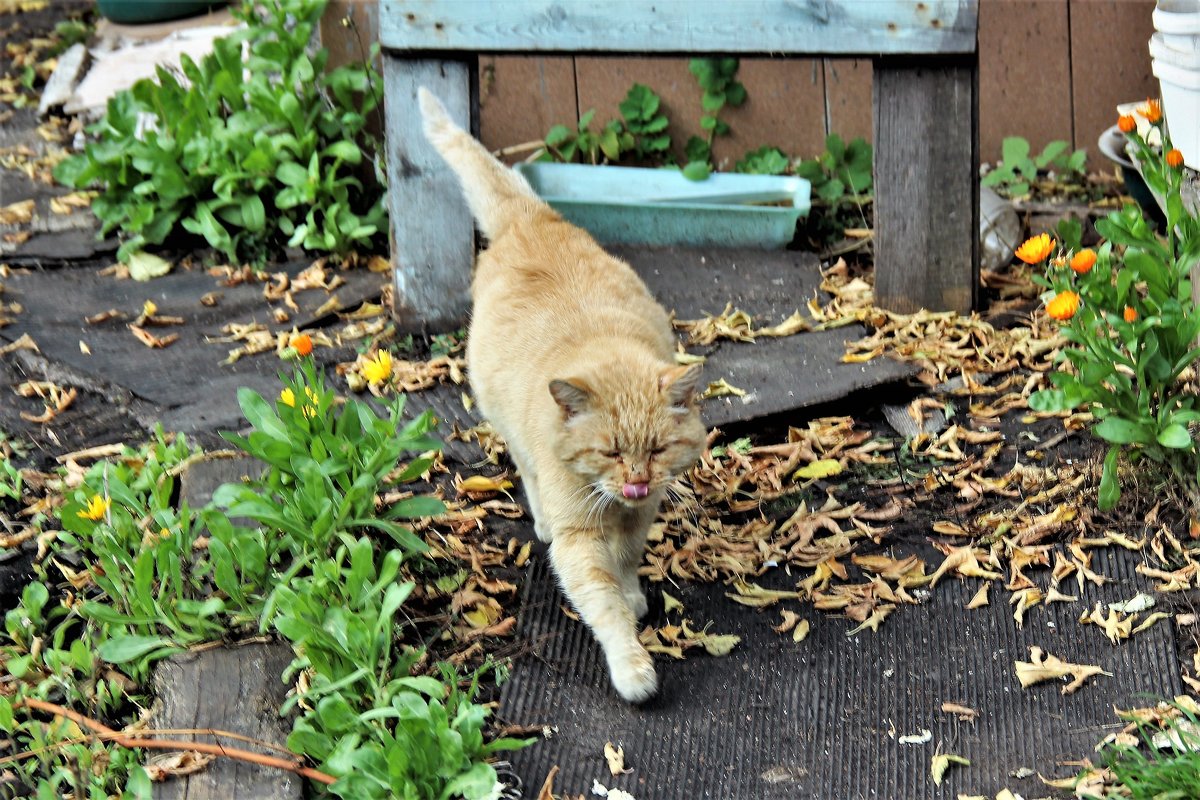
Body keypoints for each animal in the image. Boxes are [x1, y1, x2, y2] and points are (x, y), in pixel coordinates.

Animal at [420, 86, 700, 700]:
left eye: (657, 450)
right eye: (611, 452)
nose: (637, 483)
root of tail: (530, 218)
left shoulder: (641, 516)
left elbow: (627, 562)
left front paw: (634, 593)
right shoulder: (581, 537)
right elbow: (603, 601)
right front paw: (632, 665)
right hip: (509, 431)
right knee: (524, 470)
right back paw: (541, 520)